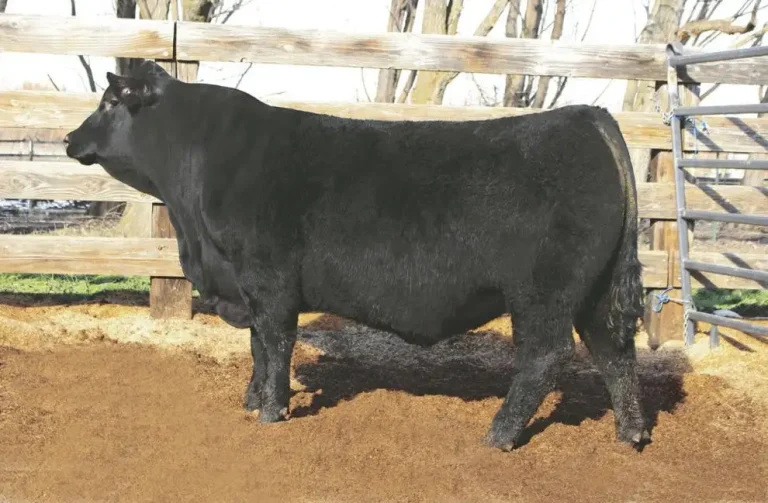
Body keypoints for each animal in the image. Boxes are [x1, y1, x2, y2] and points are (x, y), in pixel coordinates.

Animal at [64, 59, 649, 451]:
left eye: (110, 101)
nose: (69, 139)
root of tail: (587, 116)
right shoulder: (249, 286)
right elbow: (257, 347)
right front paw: (252, 400)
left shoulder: (269, 278)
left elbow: (274, 343)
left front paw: (271, 411)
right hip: (594, 290)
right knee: (615, 352)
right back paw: (632, 434)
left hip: (543, 292)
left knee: (546, 356)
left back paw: (499, 435)